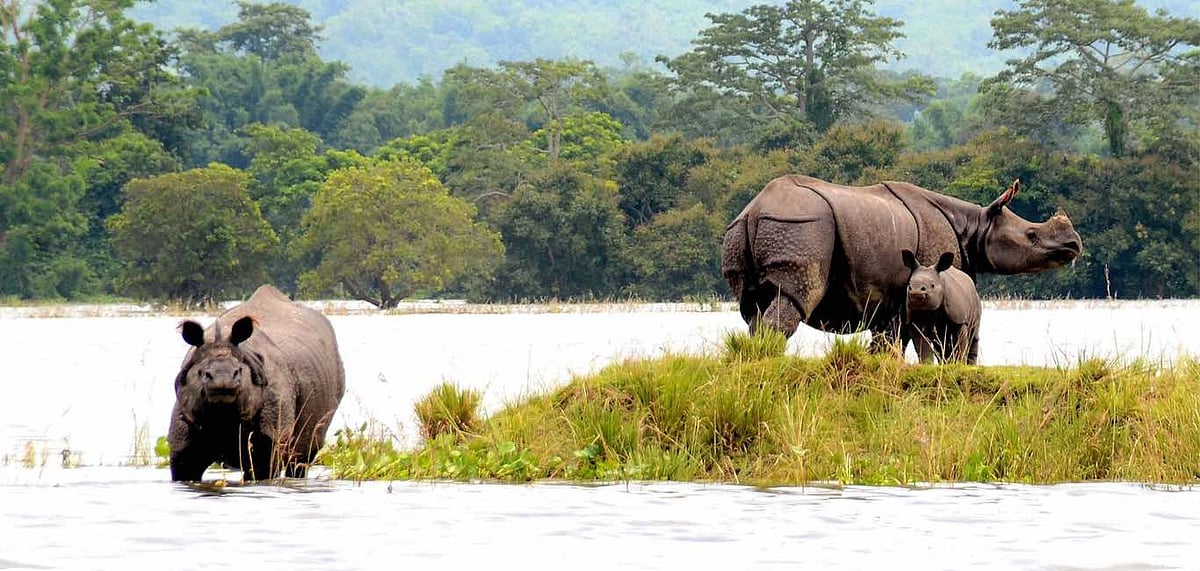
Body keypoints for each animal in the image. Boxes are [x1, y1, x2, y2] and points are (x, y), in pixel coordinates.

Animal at [168, 285, 346, 482]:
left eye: (239, 371)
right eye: (201, 373)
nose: (223, 382)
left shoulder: (271, 436)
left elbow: (262, 467)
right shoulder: (184, 429)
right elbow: (185, 466)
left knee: (301, 457)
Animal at [721, 174, 1081, 350]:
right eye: (1032, 235)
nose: (1074, 244)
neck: (974, 226)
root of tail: (754, 209)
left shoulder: (891, 298)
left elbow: (887, 341)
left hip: (743, 231)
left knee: (752, 308)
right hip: (801, 226)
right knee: (796, 295)